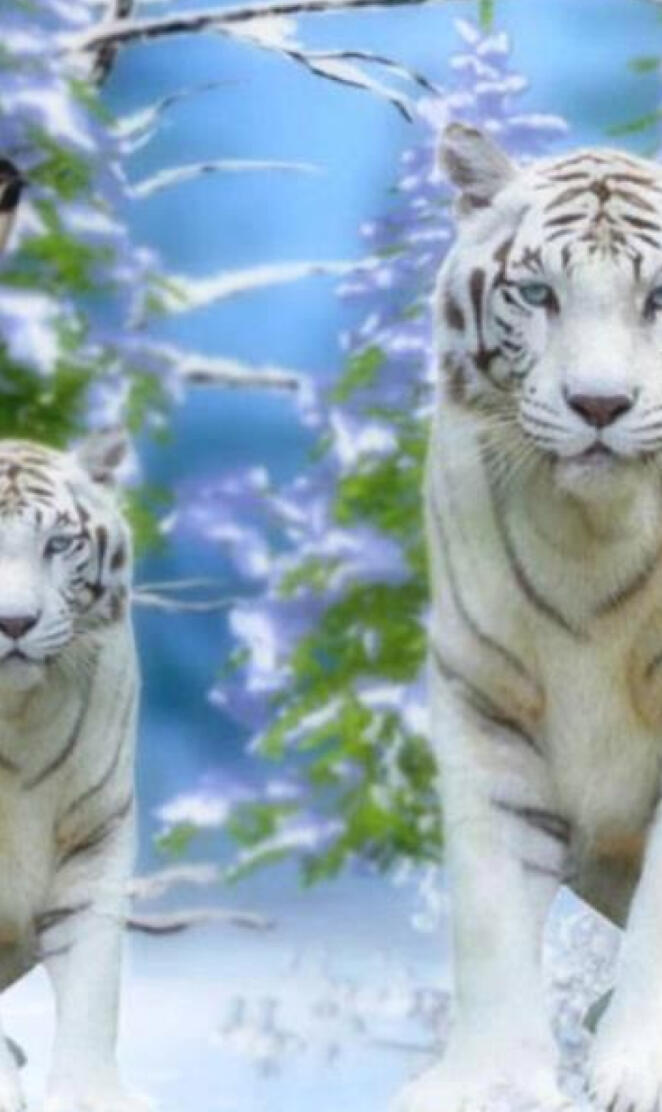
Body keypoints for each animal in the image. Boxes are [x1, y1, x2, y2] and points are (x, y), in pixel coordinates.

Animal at [391, 123, 662, 1112]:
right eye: (540, 293)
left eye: (660, 299)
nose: (600, 406)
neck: (593, 536)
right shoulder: (487, 708)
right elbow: (489, 914)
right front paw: (489, 1079)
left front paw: (636, 1067)